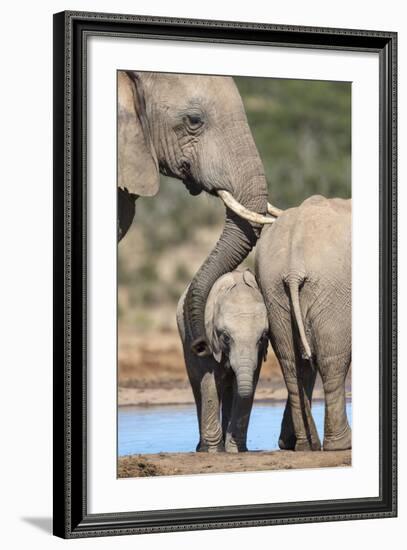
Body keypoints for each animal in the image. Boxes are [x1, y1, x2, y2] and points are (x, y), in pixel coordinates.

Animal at [177, 270, 270, 454]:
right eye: (226, 337)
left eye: (263, 337)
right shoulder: (209, 339)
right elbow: (210, 384)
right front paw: (215, 450)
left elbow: (245, 387)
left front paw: (235, 449)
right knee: (198, 387)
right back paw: (202, 448)